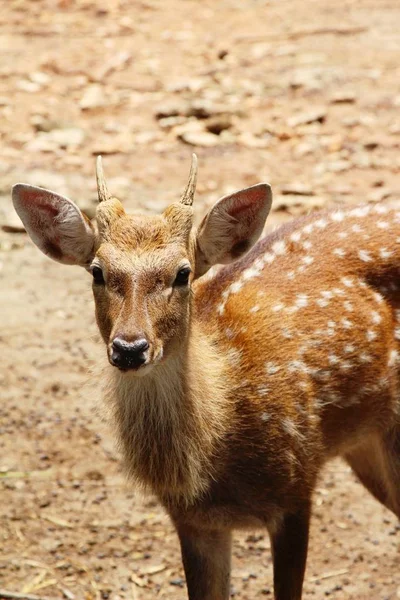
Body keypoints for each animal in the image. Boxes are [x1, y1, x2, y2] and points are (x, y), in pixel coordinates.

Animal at [10, 155, 400, 600]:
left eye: (183, 273)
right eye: (97, 271)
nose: (129, 348)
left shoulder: (296, 487)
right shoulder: (193, 520)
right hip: (366, 446)